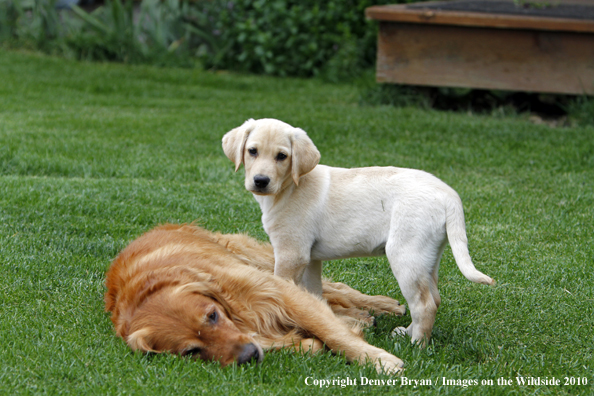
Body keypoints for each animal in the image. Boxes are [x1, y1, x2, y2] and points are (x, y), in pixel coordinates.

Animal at [104, 224, 404, 372]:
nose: (248, 357)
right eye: (191, 351)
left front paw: (378, 361)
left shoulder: (277, 290)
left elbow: (331, 332)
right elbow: (311, 342)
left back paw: (385, 305)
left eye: (212, 315)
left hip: (259, 258)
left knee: (338, 289)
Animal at [220, 118, 492, 346]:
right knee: (432, 298)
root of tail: (448, 194)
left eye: (282, 156)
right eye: (252, 151)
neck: (291, 186)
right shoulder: (310, 259)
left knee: (424, 305)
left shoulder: (291, 254)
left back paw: (416, 346)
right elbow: (313, 295)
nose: (261, 180)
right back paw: (407, 333)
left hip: (405, 255)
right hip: (427, 257)